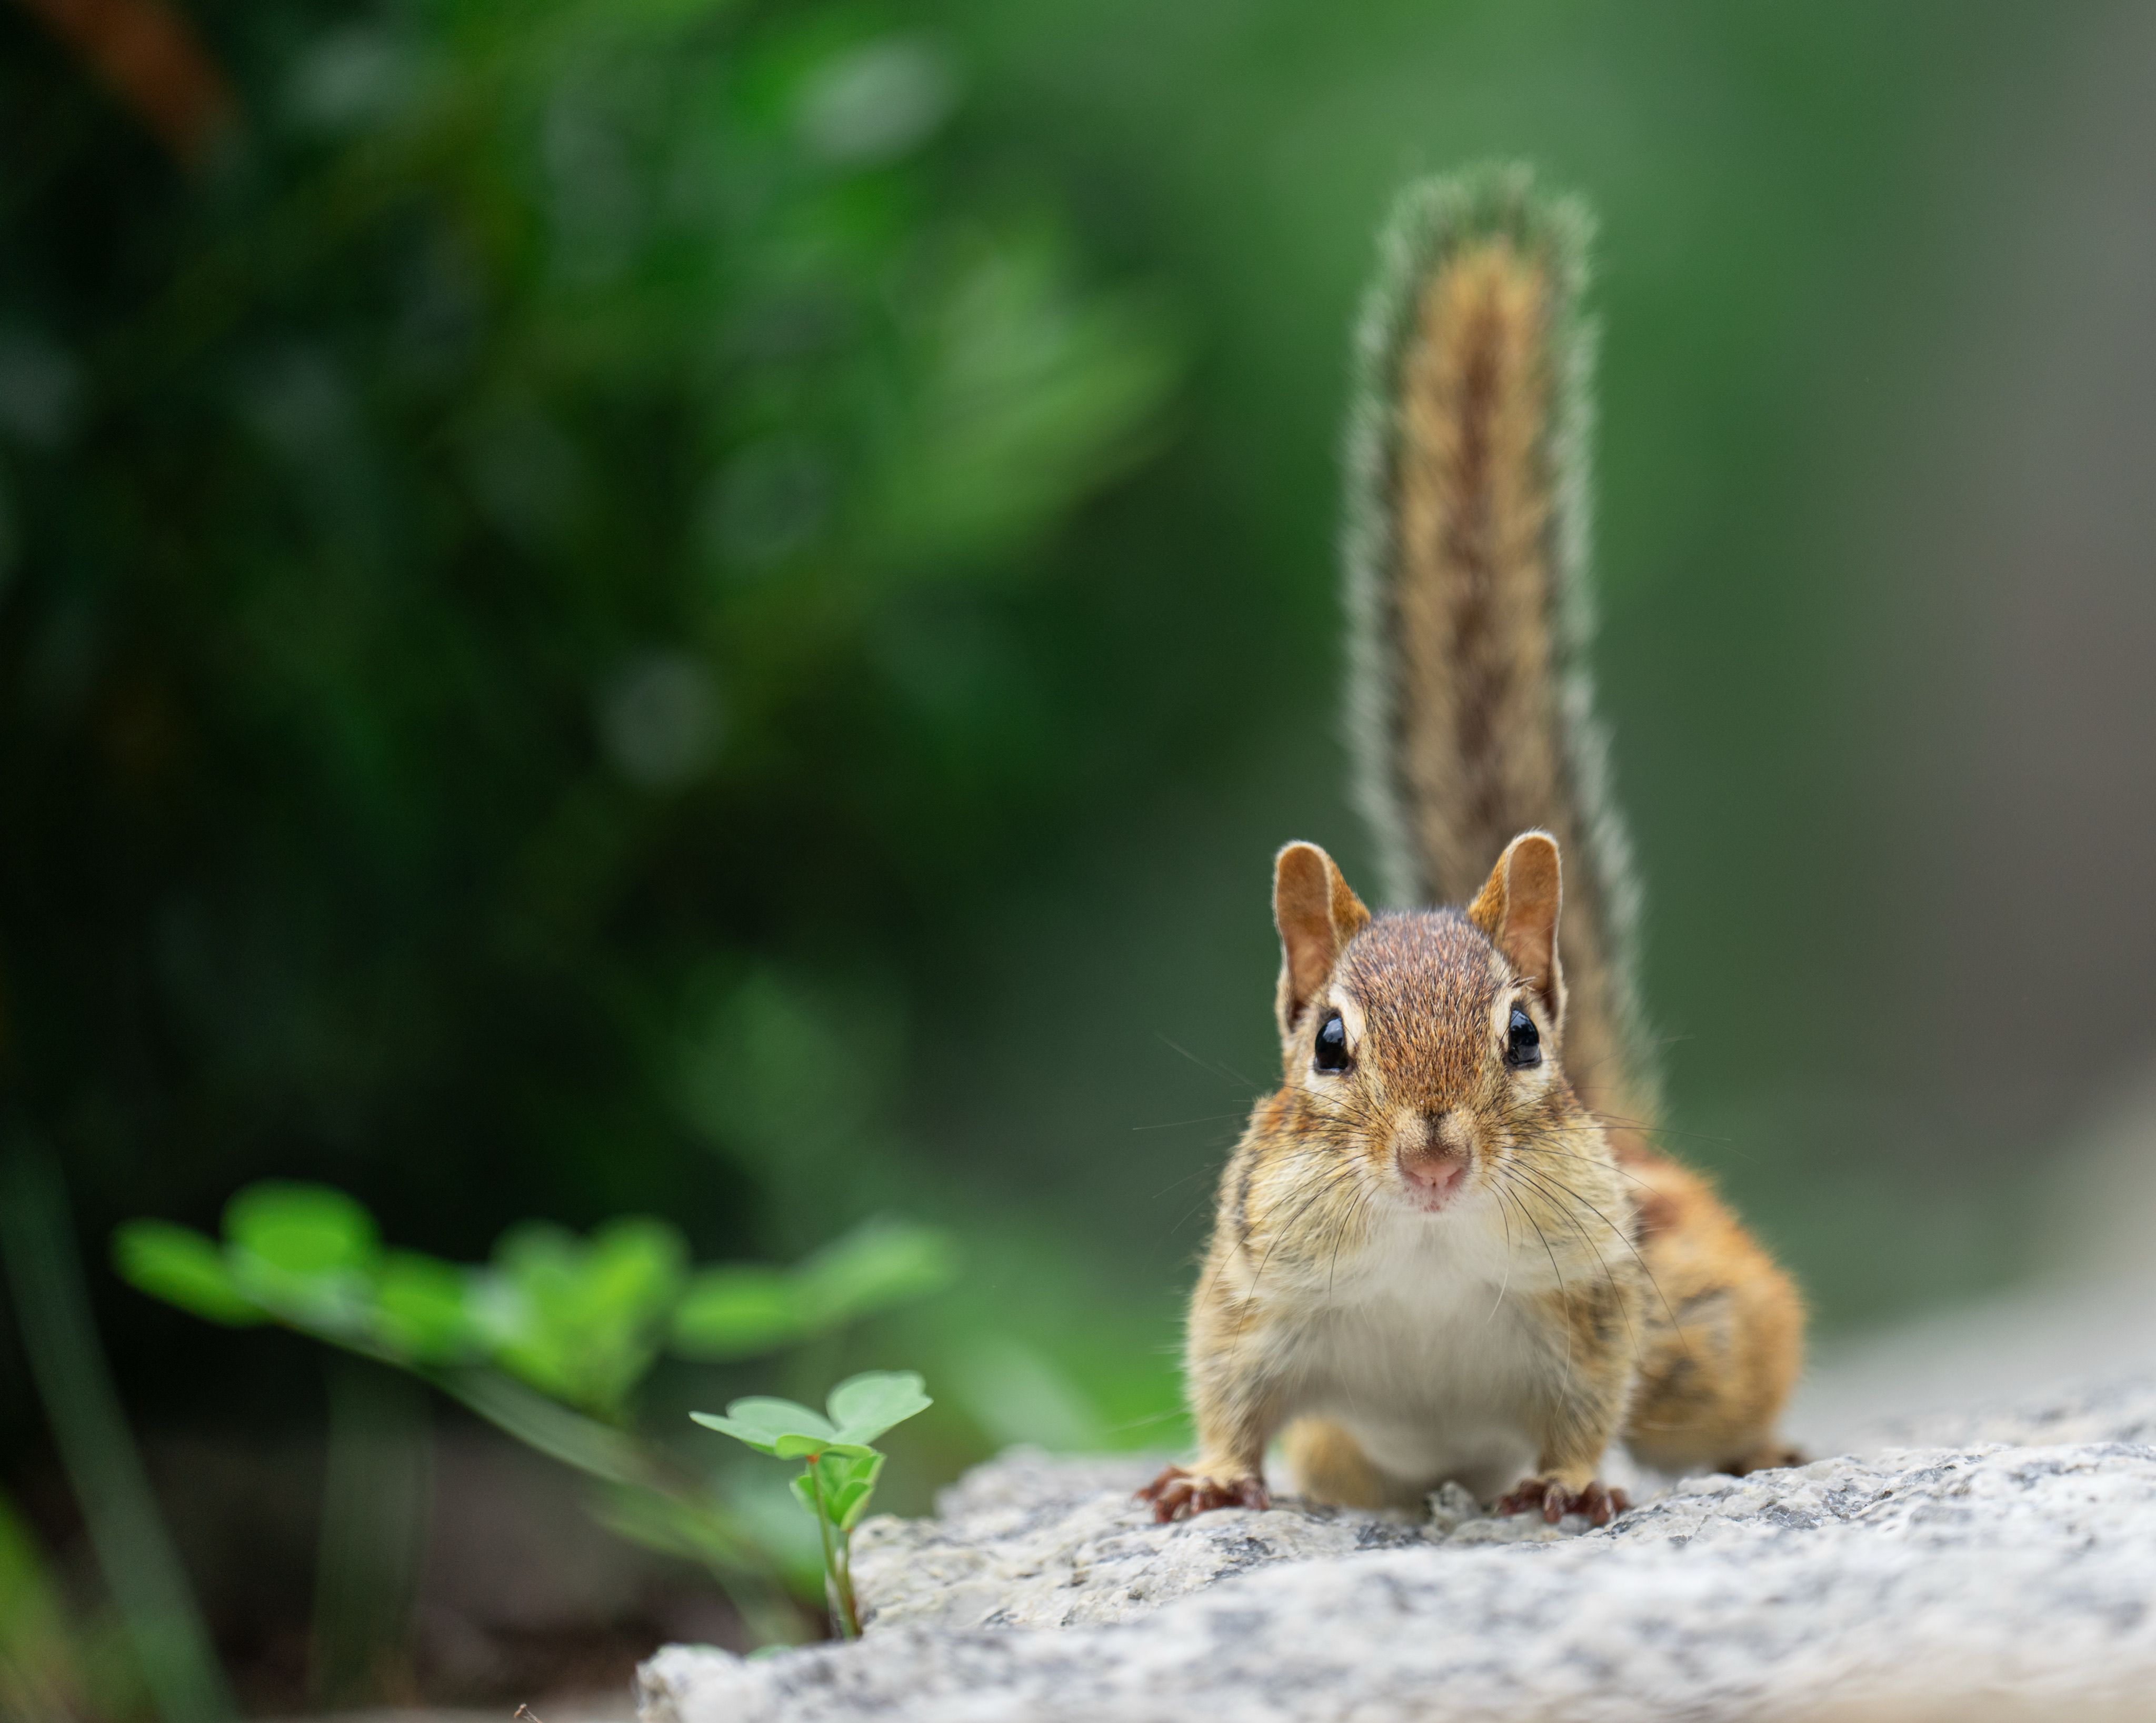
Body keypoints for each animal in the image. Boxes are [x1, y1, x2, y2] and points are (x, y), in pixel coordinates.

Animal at [1140, 168, 1804, 1528]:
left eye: (1522, 1036)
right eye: (1327, 1042)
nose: (1434, 1152)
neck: (1428, 1247)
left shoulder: (1597, 1305)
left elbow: (1586, 1408)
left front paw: (1573, 1481)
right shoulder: (1247, 1298)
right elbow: (1228, 1393)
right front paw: (1212, 1473)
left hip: (1699, 1343)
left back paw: (1759, 1447)